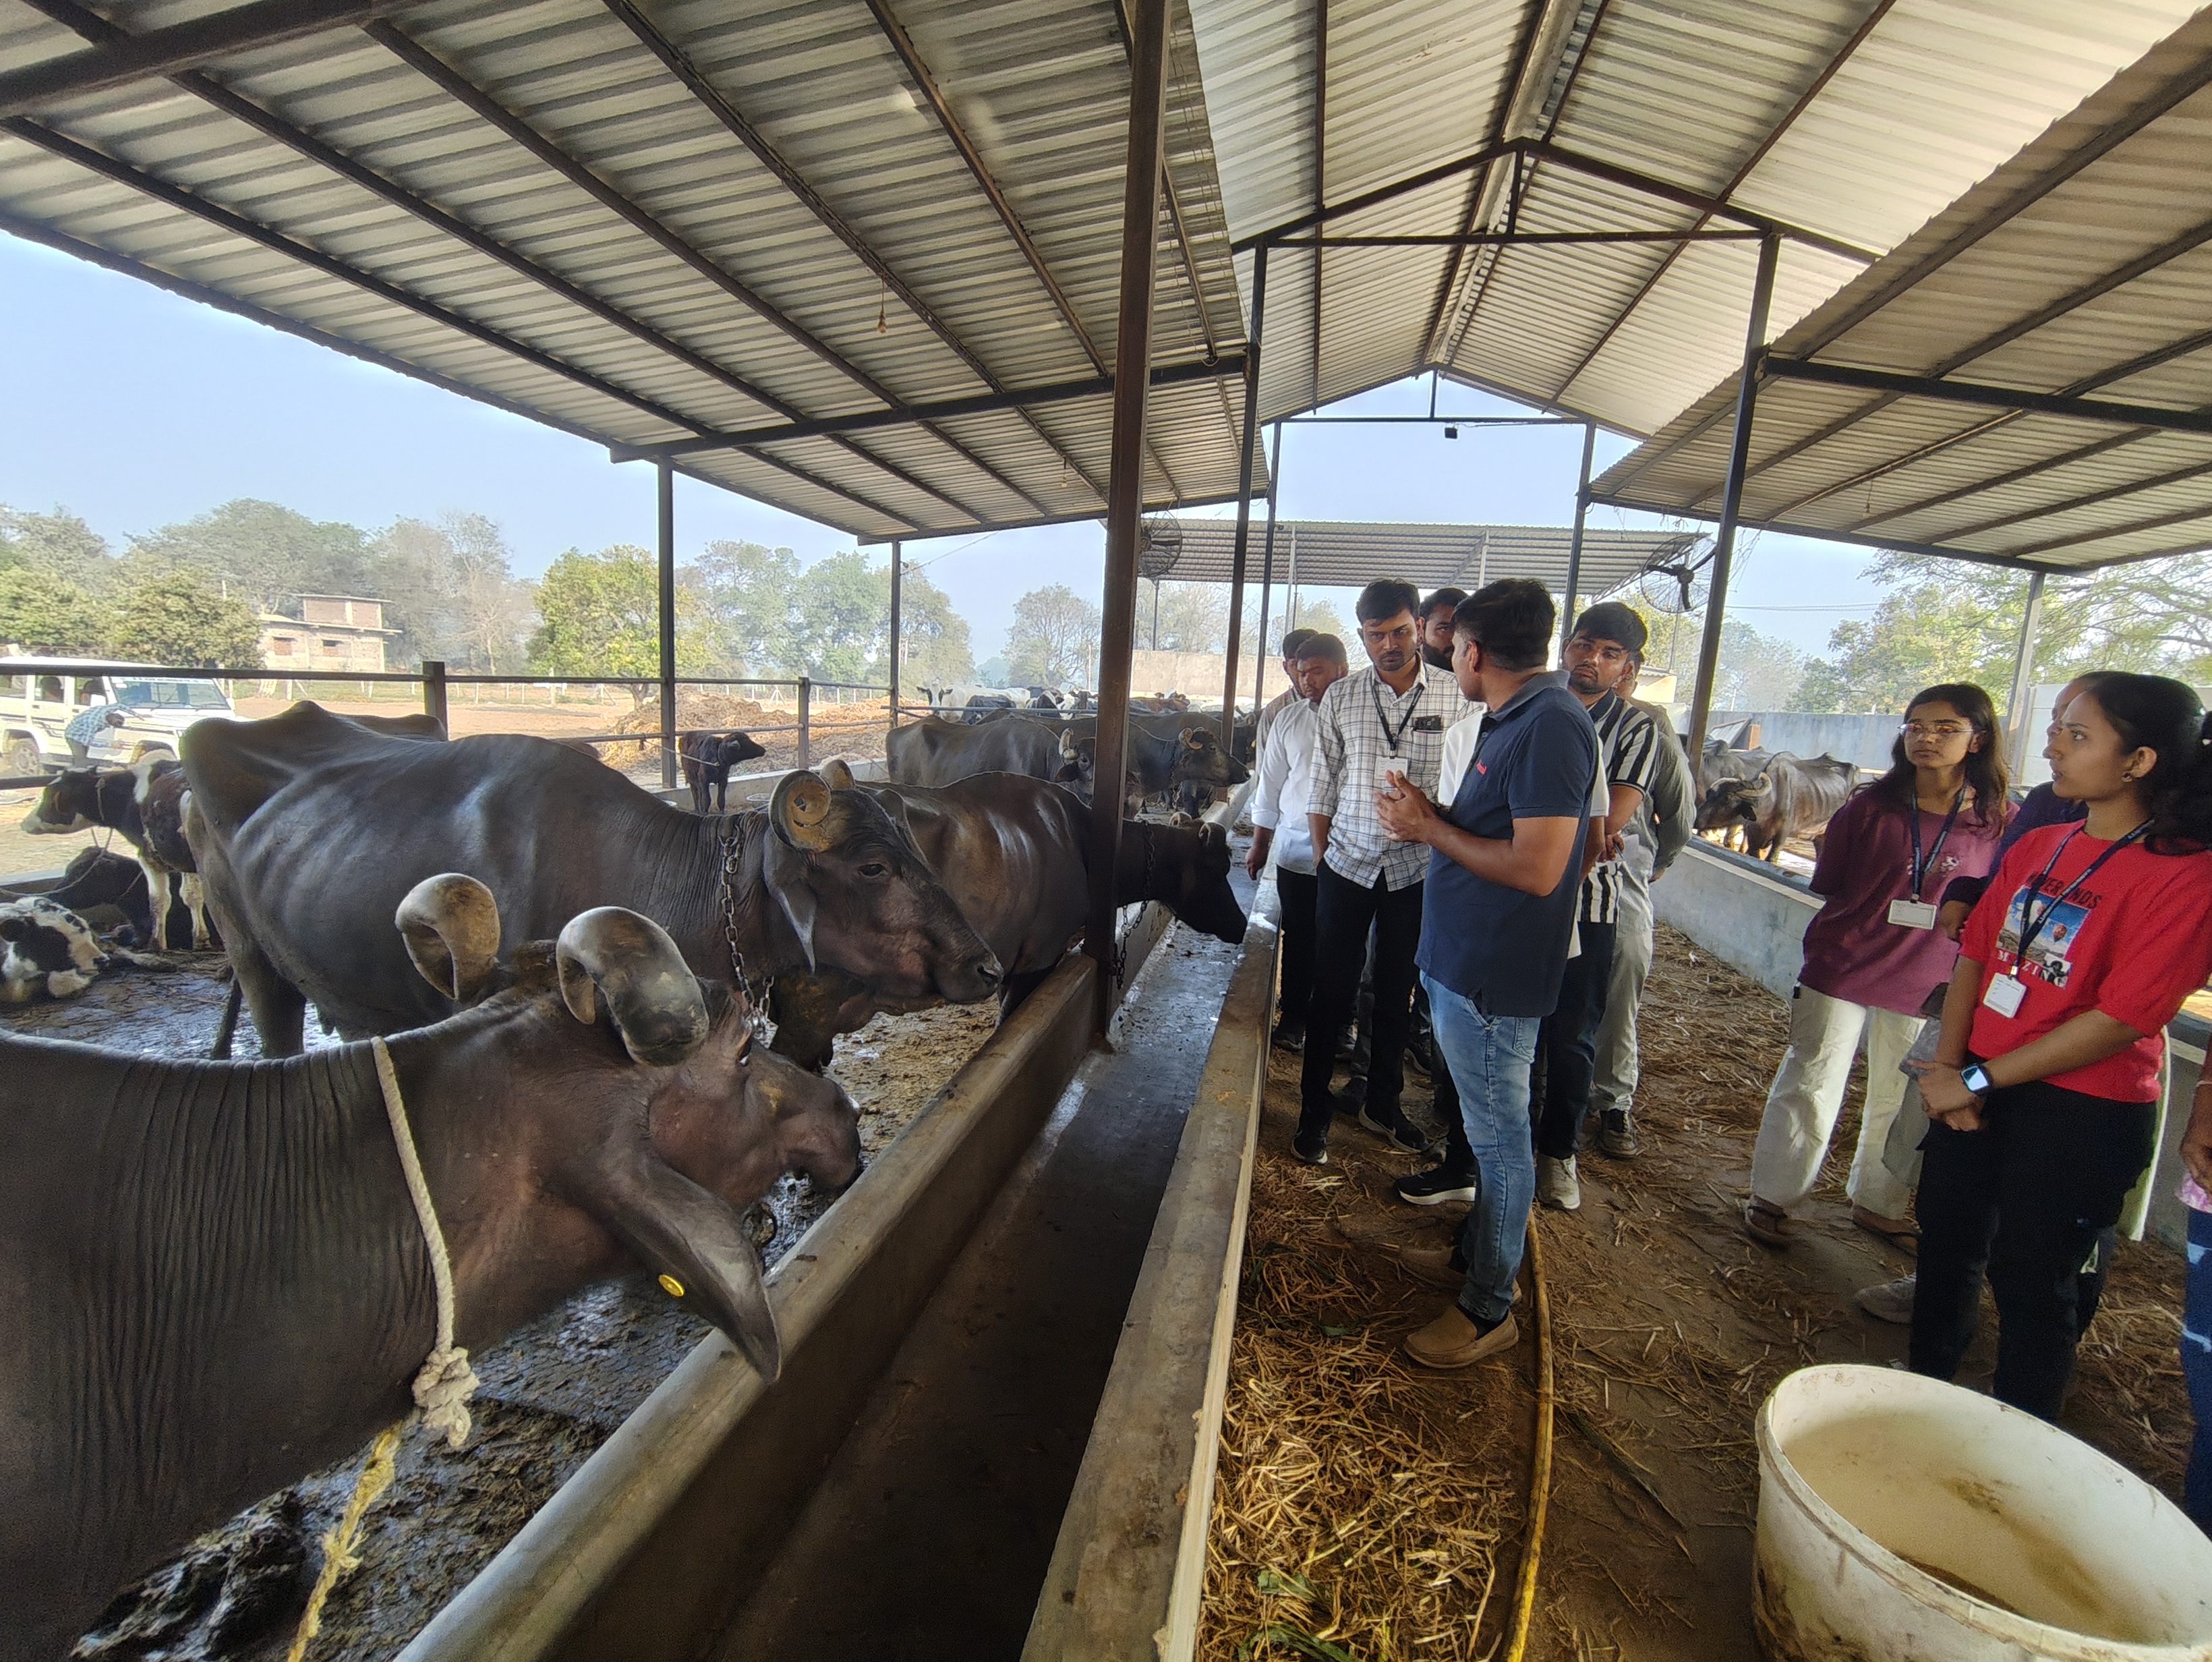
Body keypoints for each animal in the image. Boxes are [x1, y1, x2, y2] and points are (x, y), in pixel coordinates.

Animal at [679, 728, 769, 813]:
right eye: (746, 741)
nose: (763, 750)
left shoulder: (723, 780)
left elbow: (721, 800)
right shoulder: (704, 780)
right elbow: (706, 801)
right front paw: (705, 813)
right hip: (691, 777)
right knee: (695, 793)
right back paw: (697, 810)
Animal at [770, 767, 1249, 1067]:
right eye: (1220, 865)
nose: (1242, 925)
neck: (1081, 840)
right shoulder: (1036, 960)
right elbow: (1008, 1023)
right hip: (810, 1010)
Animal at [1694, 753, 1856, 862]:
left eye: (1727, 799)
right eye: (1709, 794)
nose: (1696, 821)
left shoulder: (1781, 836)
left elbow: (1771, 859)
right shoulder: (1753, 838)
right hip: (1819, 837)